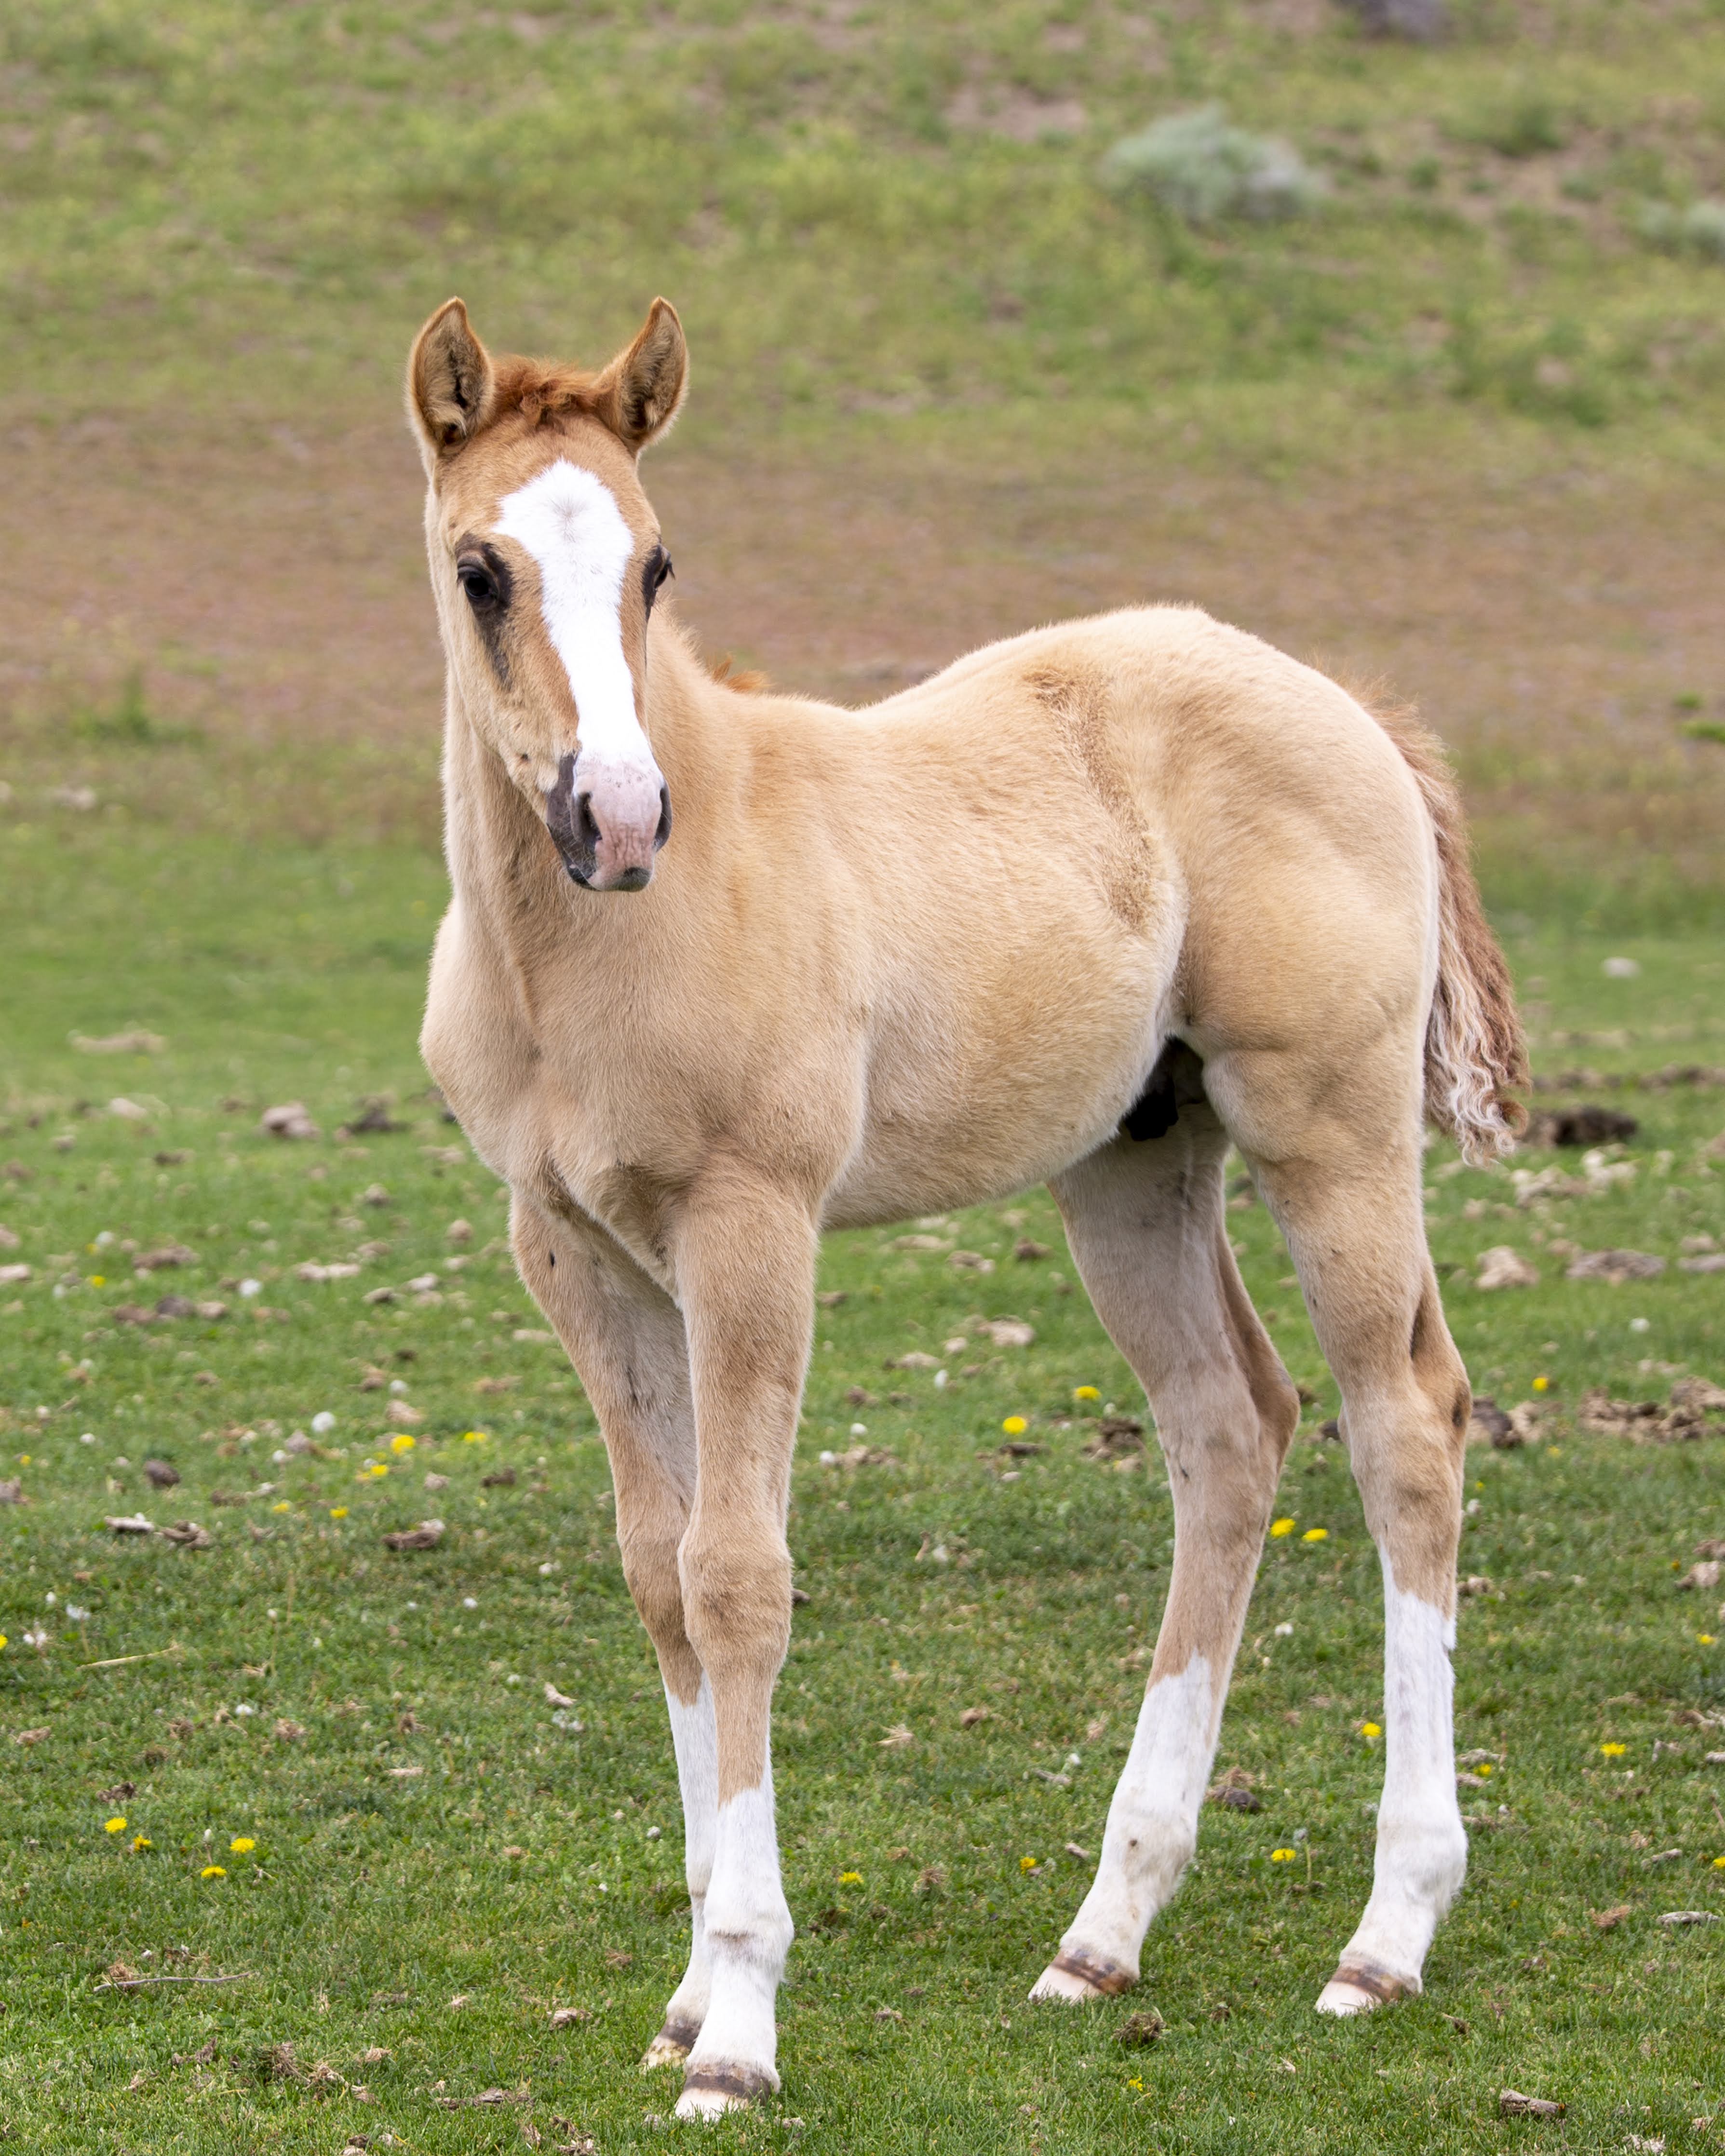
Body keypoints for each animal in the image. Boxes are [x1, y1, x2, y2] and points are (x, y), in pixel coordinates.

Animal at [406, 295, 1526, 2120]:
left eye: (656, 559)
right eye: (479, 567)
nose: (617, 815)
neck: (582, 950)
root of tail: (1349, 707)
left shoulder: (750, 1223)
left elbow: (737, 1574)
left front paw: (740, 2020)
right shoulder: (569, 1249)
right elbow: (657, 1572)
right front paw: (684, 1991)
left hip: (1329, 1128)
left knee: (1403, 1421)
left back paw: (1384, 1934)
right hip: (1132, 1164)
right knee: (1230, 1427)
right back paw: (1103, 1930)